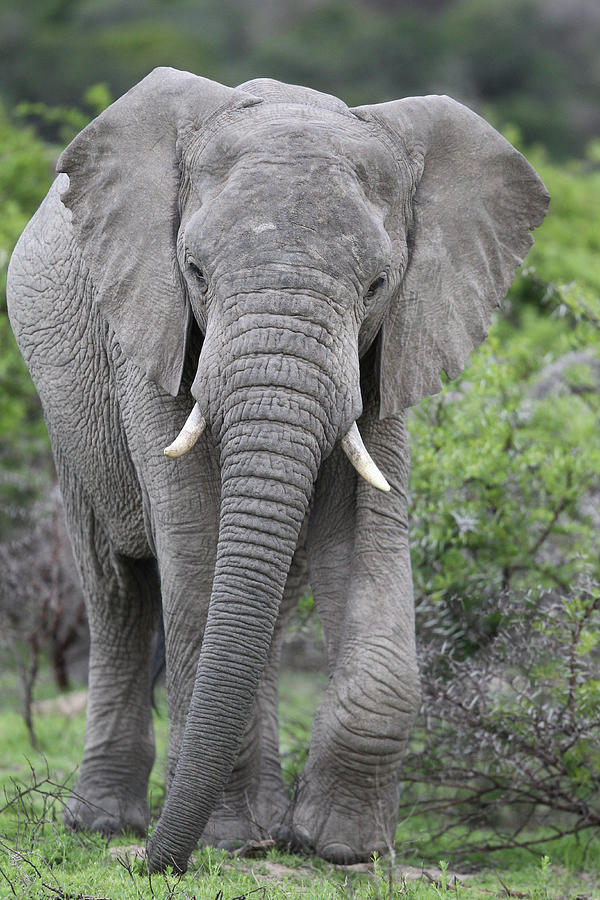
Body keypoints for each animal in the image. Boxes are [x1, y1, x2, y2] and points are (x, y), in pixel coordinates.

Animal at [5, 68, 548, 872]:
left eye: (378, 285)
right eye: (195, 271)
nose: (153, 866)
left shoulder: (388, 353)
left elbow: (363, 534)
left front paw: (344, 849)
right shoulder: (152, 330)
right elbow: (195, 543)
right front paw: (235, 841)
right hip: (67, 413)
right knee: (118, 591)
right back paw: (107, 825)